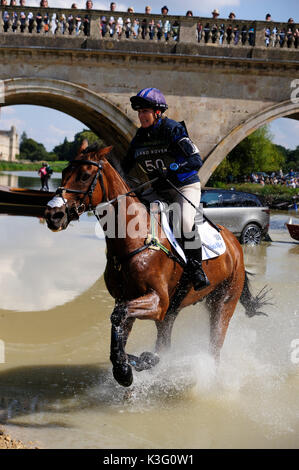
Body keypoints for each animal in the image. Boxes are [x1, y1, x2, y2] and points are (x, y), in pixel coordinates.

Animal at [45, 141, 272, 388]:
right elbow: (119, 323)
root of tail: (235, 244)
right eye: (64, 173)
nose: (53, 214)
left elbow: (118, 316)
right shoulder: (130, 299)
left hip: (223, 301)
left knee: (215, 345)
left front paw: (125, 369)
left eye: (85, 175)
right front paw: (129, 365)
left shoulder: (158, 301)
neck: (133, 237)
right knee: (165, 342)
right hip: (173, 310)